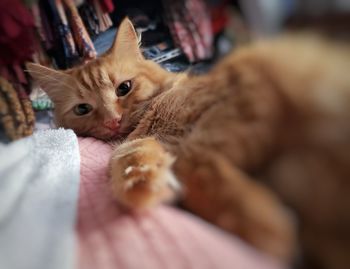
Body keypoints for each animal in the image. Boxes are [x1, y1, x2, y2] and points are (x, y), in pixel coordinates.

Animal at [27, 17, 350, 266]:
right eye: (83, 109)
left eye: (124, 88)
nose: (112, 120)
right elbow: (134, 160)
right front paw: (142, 184)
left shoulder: (238, 97)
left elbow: (196, 159)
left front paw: (264, 227)